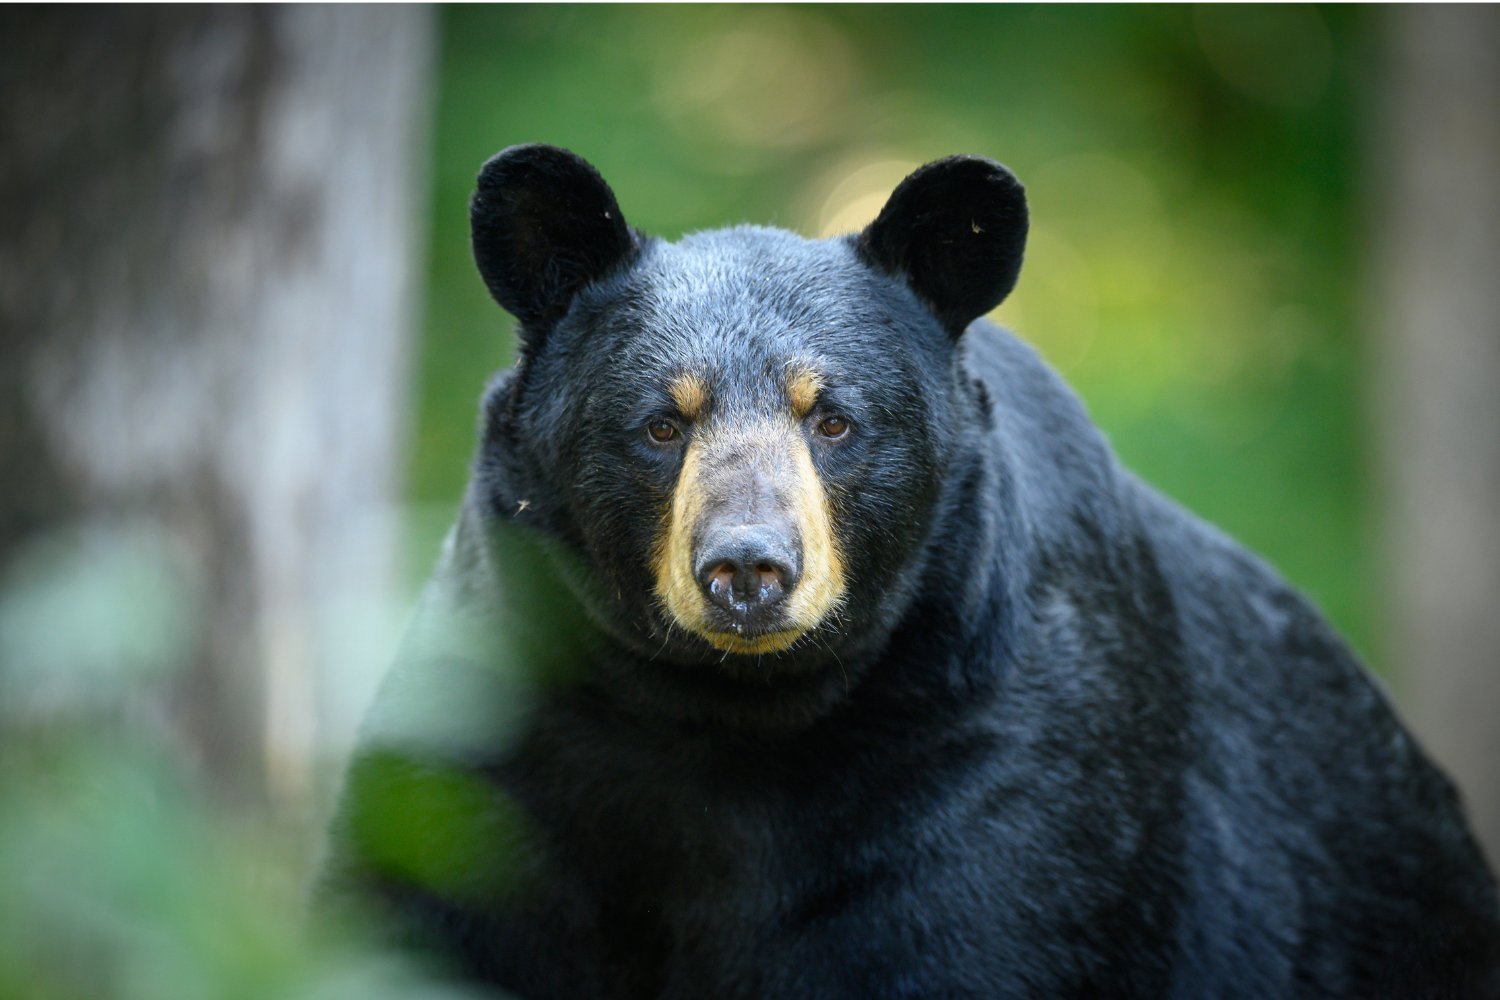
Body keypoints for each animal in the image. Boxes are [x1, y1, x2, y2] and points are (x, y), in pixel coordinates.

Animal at [319, 144, 1500, 995]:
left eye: (833, 418)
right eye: (662, 422)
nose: (747, 569)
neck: (724, 719)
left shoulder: (1005, 766)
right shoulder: (497, 737)